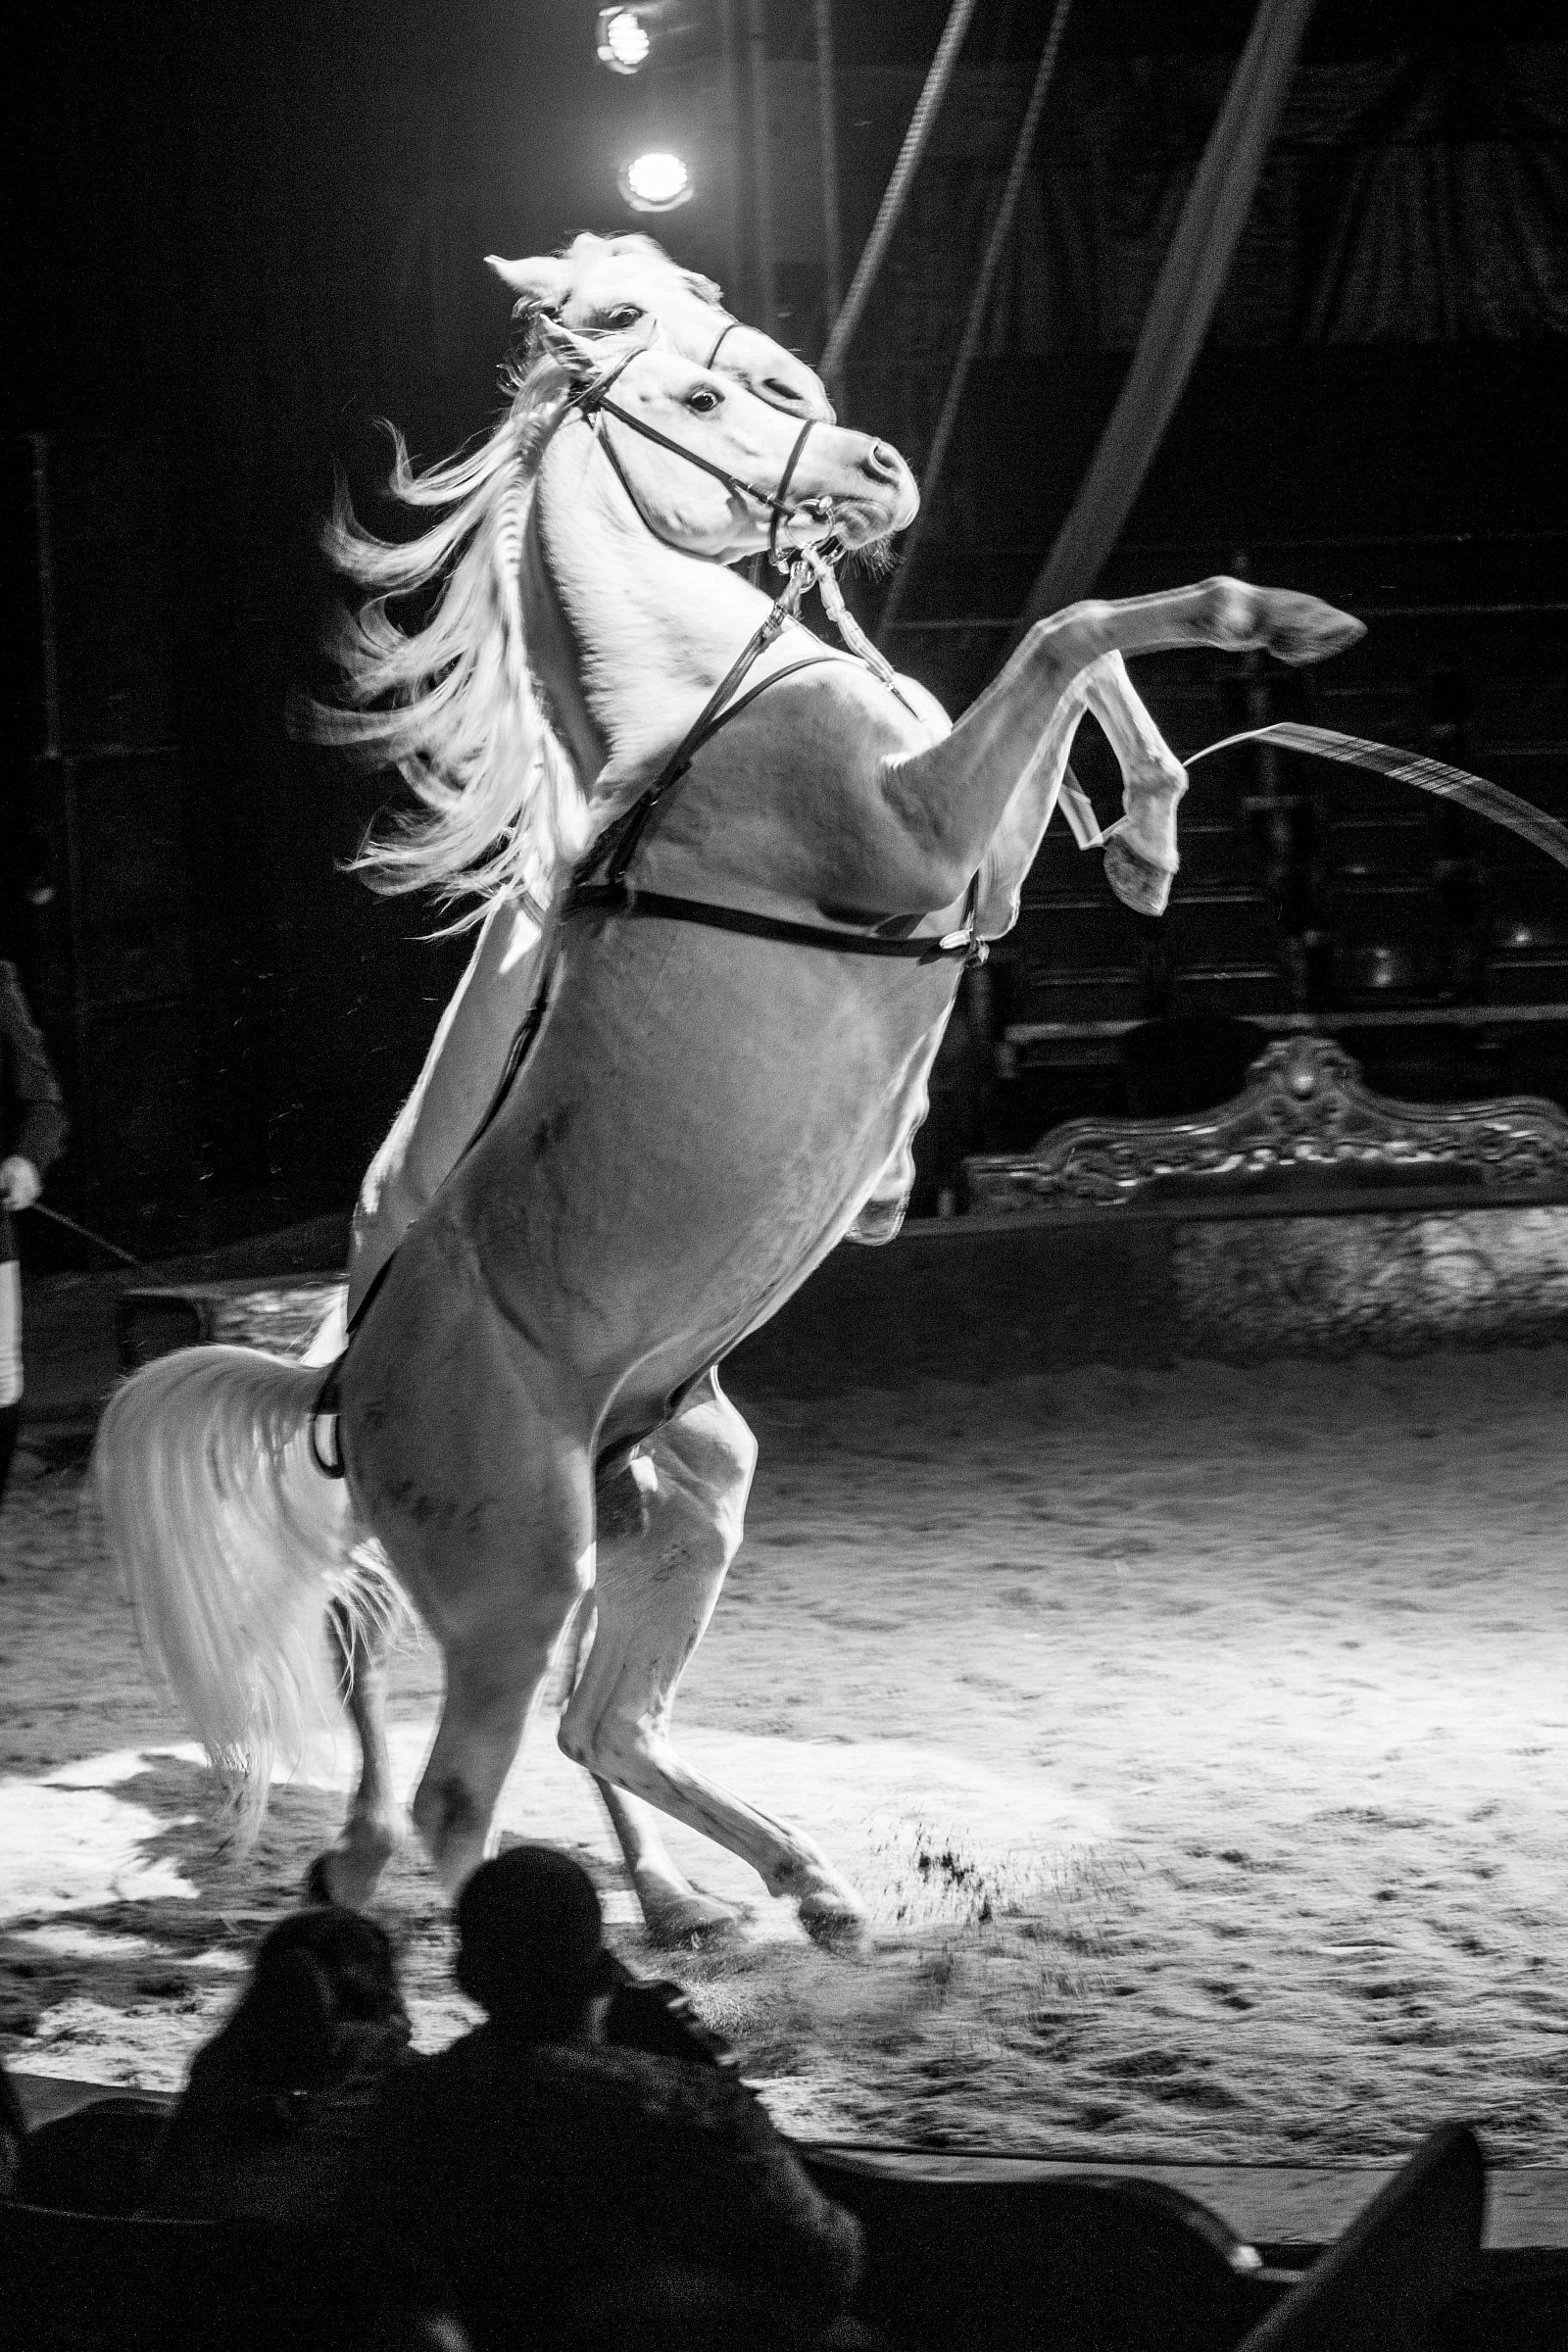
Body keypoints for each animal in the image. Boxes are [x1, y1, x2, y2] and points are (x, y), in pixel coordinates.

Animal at [95, 319, 1362, 1943]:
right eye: (697, 393)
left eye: (776, 376)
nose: (879, 470)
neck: (703, 713)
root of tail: (337, 1381)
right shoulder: (924, 840)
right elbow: (1070, 628)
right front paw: (1283, 621)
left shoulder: (976, 868)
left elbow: (1078, 662)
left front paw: (1147, 835)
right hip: (519, 1573)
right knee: (459, 1785)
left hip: (681, 1503)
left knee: (600, 1725)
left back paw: (777, 1891)